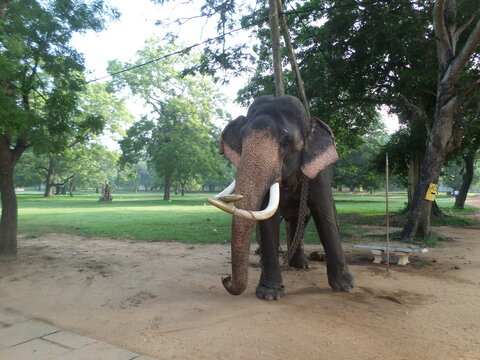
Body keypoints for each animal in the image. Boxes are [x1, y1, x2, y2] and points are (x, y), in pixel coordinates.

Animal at [206, 94, 352, 300]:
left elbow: (324, 212)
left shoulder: (321, 172)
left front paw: (345, 286)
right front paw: (269, 293)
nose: (225, 279)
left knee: (303, 218)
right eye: (242, 139)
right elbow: (269, 220)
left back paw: (300, 265)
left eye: (286, 142)